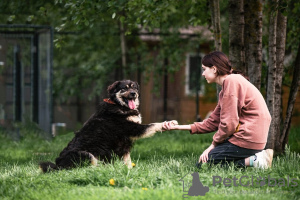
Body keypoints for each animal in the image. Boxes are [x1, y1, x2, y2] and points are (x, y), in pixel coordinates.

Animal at [39, 79, 177, 172]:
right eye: (124, 88)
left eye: (135, 88)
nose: (133, 93)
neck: (118, 106)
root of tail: (58, 166)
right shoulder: (132, 129)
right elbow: (152, 125)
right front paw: (166, 124)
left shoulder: (125, 144)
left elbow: (127, 161)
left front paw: (129, 171)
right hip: (86, 154)